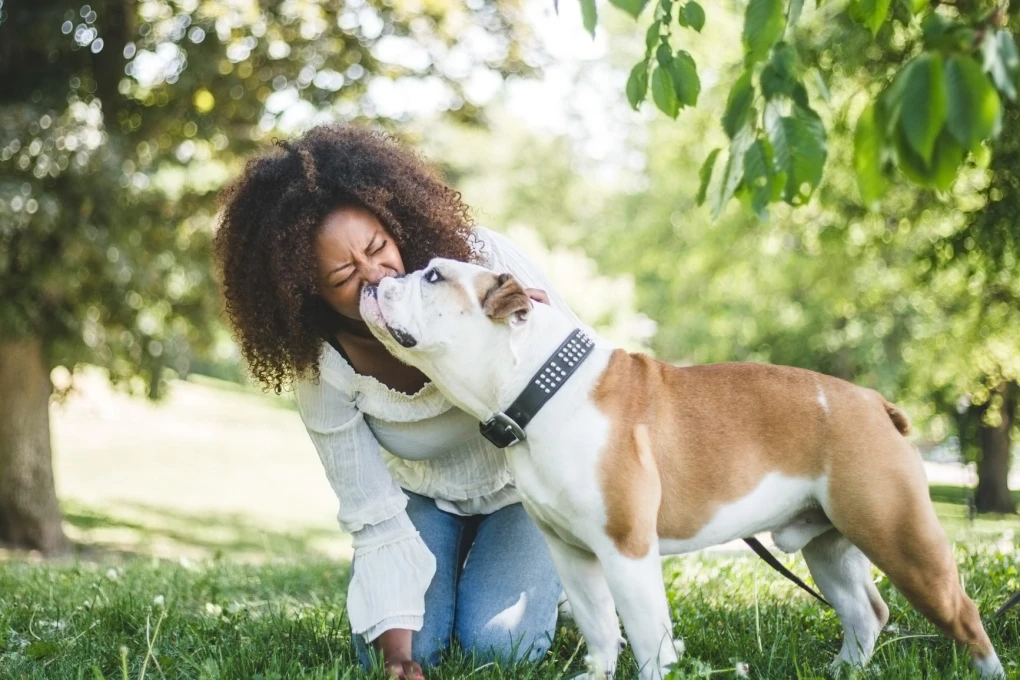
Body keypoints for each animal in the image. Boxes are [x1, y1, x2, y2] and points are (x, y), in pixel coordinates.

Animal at [361, 257, 1003, 676]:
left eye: (433, 277)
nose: (376, 280)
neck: (542, 389)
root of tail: (872, 401)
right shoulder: (572, 555)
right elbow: (600, 629)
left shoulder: (626, 550)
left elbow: (647, 639)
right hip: (830, 546)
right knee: (866, 612)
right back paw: (845, 670)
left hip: (900, 536)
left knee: (963, 614)